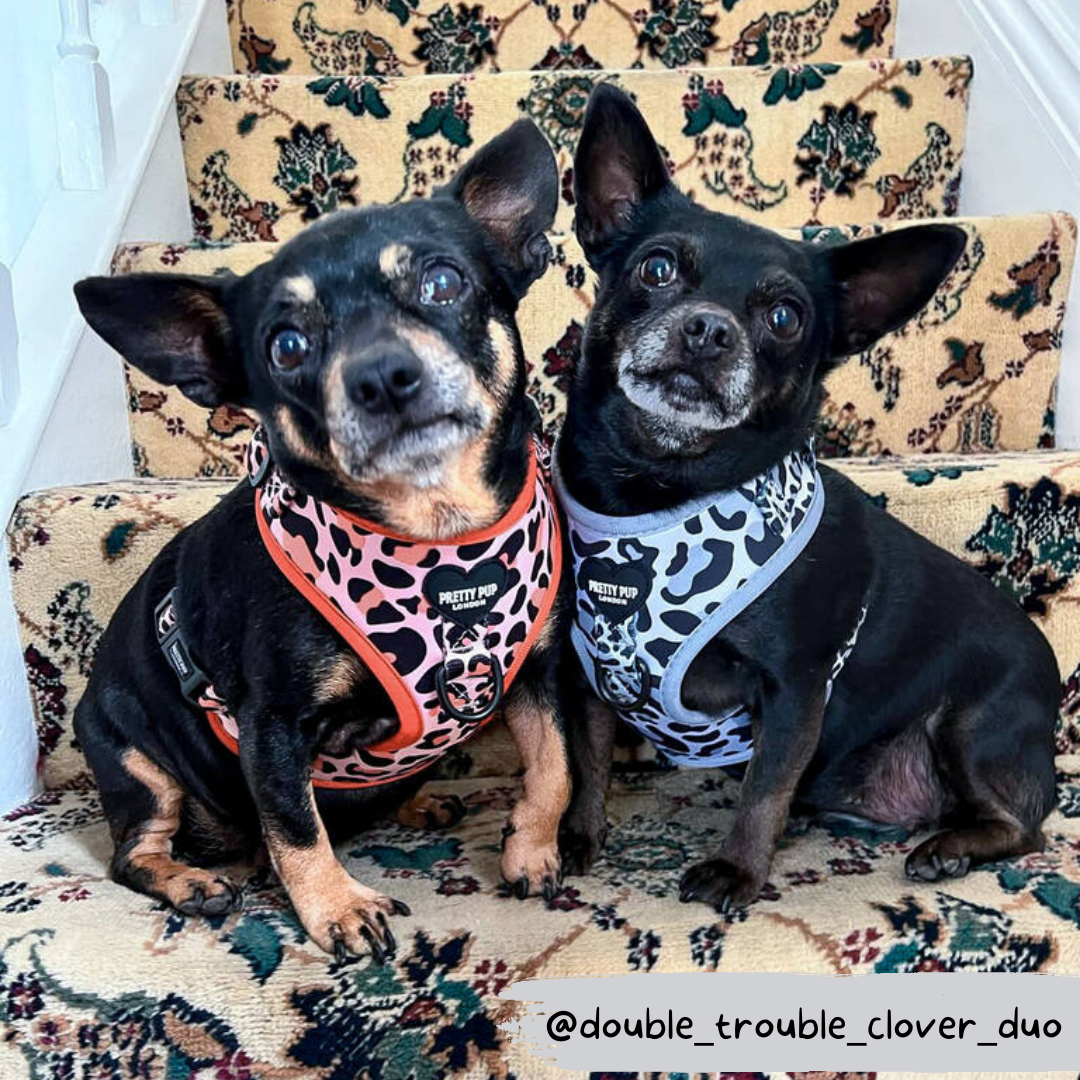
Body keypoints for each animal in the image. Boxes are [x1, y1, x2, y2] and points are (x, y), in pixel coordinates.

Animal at [71, 118, 570, 963]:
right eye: (286, 347)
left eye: (443, 283)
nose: (382, 375)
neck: (440, 539)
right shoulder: (270, 727)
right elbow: (297, 830)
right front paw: (338, 910)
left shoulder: (538, 674)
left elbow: (554, 768)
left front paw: (531, 851)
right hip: (136, 761)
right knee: (133, 852)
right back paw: (189, 881)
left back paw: (417, 803)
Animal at [552, 84, 1058, 911]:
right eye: (656, 269)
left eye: (785, 317)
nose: (708, 329)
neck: (657, 490)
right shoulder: (594, 673)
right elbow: (587, 760)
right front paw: (576, 835)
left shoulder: (794, 690)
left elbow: (763, 789)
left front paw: (737, 870)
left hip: (973, 725)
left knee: (1023, 825)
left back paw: (951, 850)